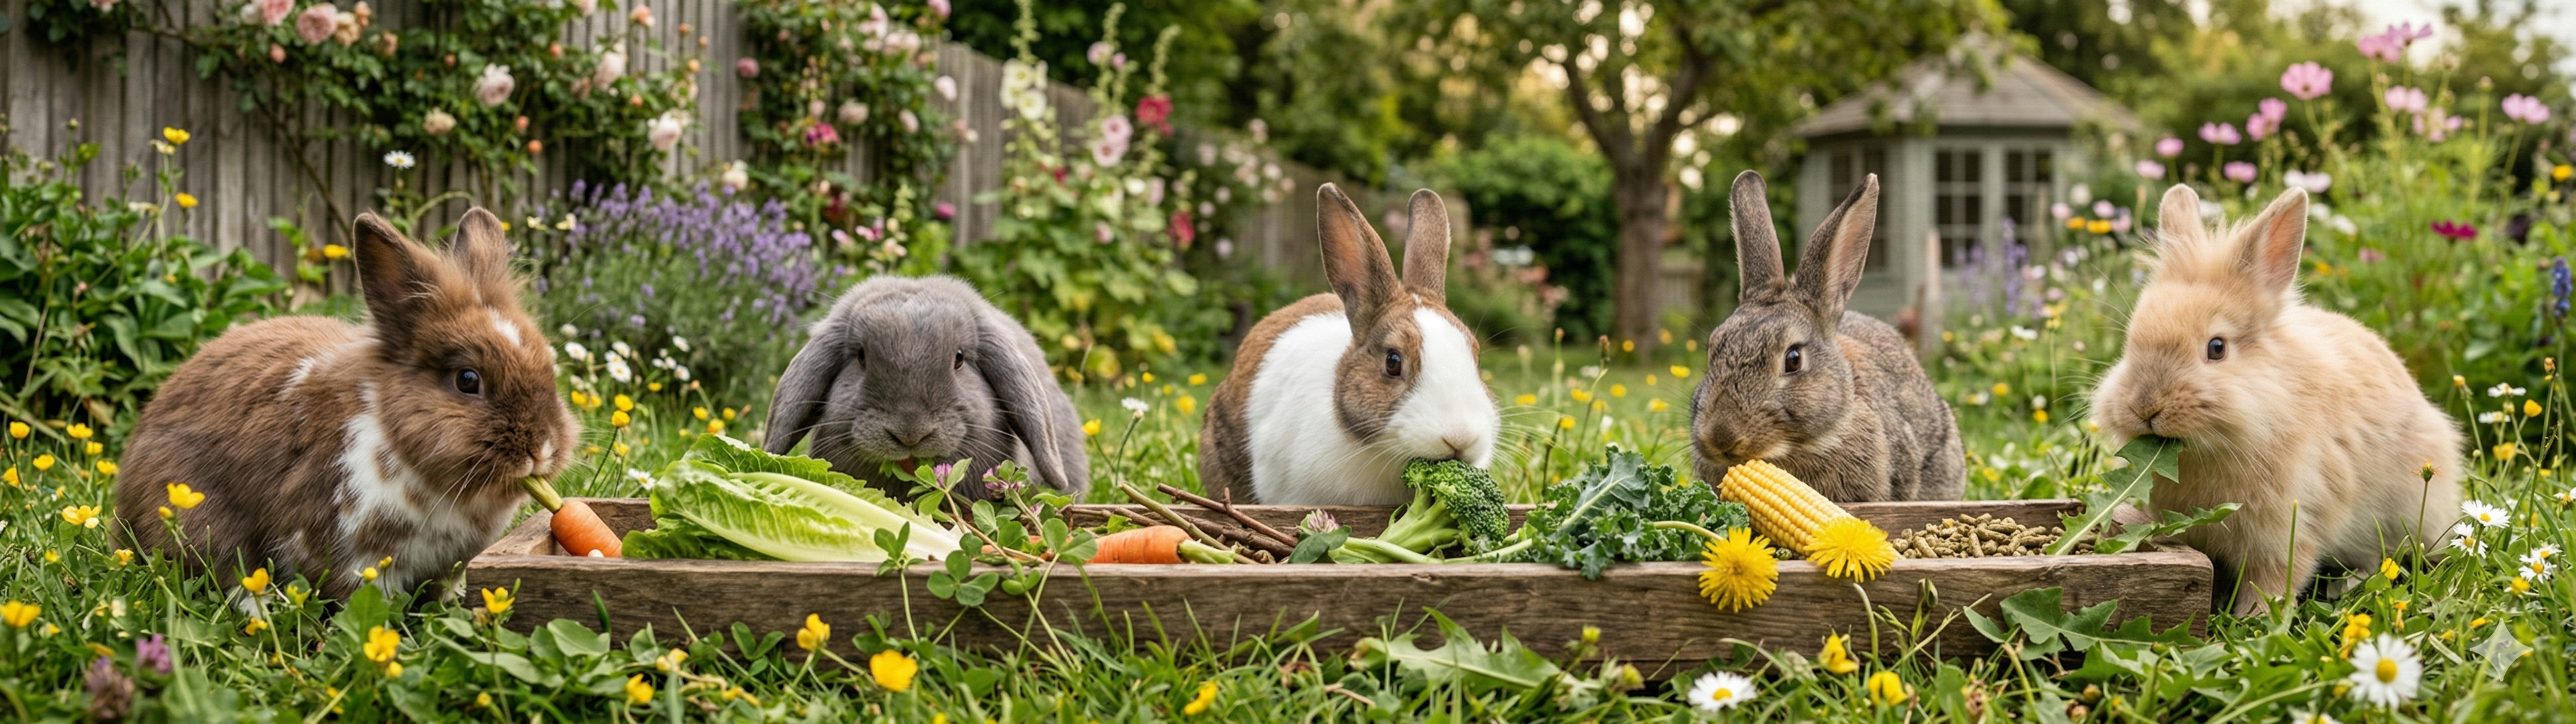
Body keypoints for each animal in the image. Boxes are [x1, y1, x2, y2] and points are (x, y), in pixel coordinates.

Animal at [2092, 185, 2461, 615]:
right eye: (2129, 343)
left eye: (2216, 348)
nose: (2146, 407)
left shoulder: (2287, 532)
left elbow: (2274, 580)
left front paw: (2254, 618)